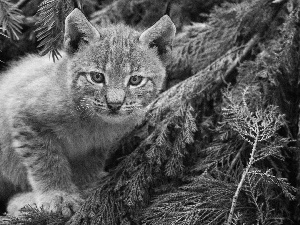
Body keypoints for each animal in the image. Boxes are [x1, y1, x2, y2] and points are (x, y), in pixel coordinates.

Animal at [0, 9, 176, 216]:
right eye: (97, 77)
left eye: (135, 80)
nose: (114, 104)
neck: (92, 120)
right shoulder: (23, 113)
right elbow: (46, 161)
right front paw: (58, 195)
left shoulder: (97, 145)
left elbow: (89, 164)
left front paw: (86, 188)